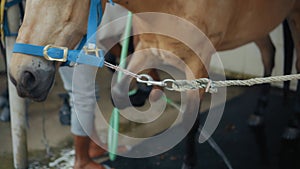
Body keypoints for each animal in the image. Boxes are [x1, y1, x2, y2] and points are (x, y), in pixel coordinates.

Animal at [8, 0, 300, 169]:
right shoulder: (148, 45)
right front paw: (148, 92)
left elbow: (189, 117)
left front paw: (189, 164)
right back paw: (259, 112)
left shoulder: (198, 61)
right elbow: (118, 92)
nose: (21, 76)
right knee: (270, 53)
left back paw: (290, 127)